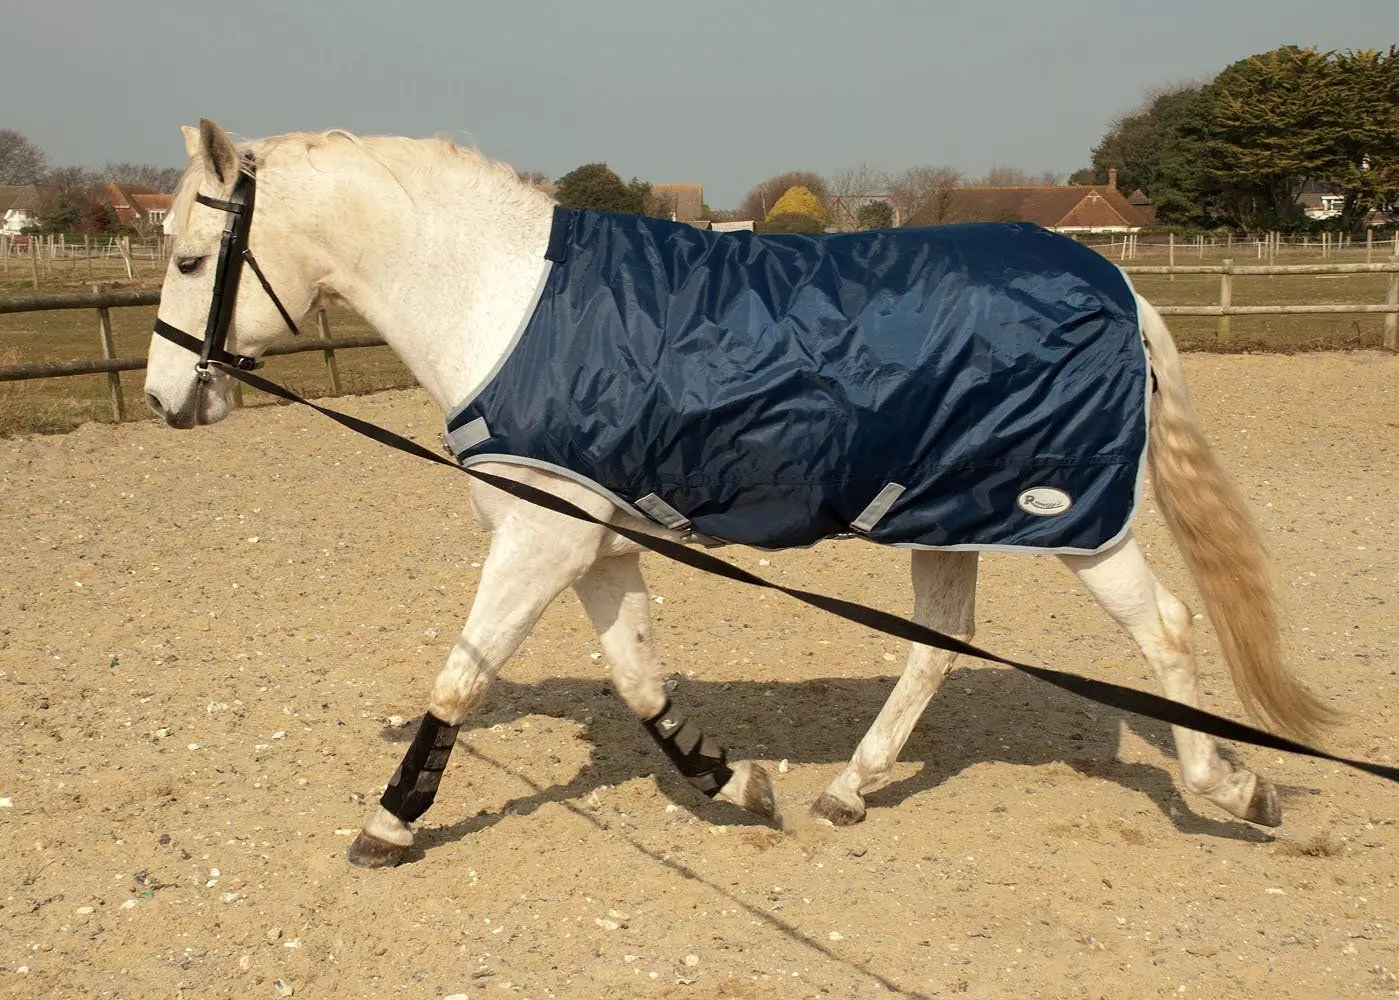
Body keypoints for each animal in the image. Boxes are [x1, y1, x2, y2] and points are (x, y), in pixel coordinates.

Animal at [144, 121, 1331, 868]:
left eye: (196, 258)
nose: (164, 398)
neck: (504, 300)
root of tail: (1118, 282)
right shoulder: (596, 544)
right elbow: (638, 684)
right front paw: (733, 782)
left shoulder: (539, 541)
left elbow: (460, 679)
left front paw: (391, 822)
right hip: (940, 512)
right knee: (940, 642)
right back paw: (850, 786)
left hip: (1071, 522)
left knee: (1164, 630)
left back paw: (1231, 787)